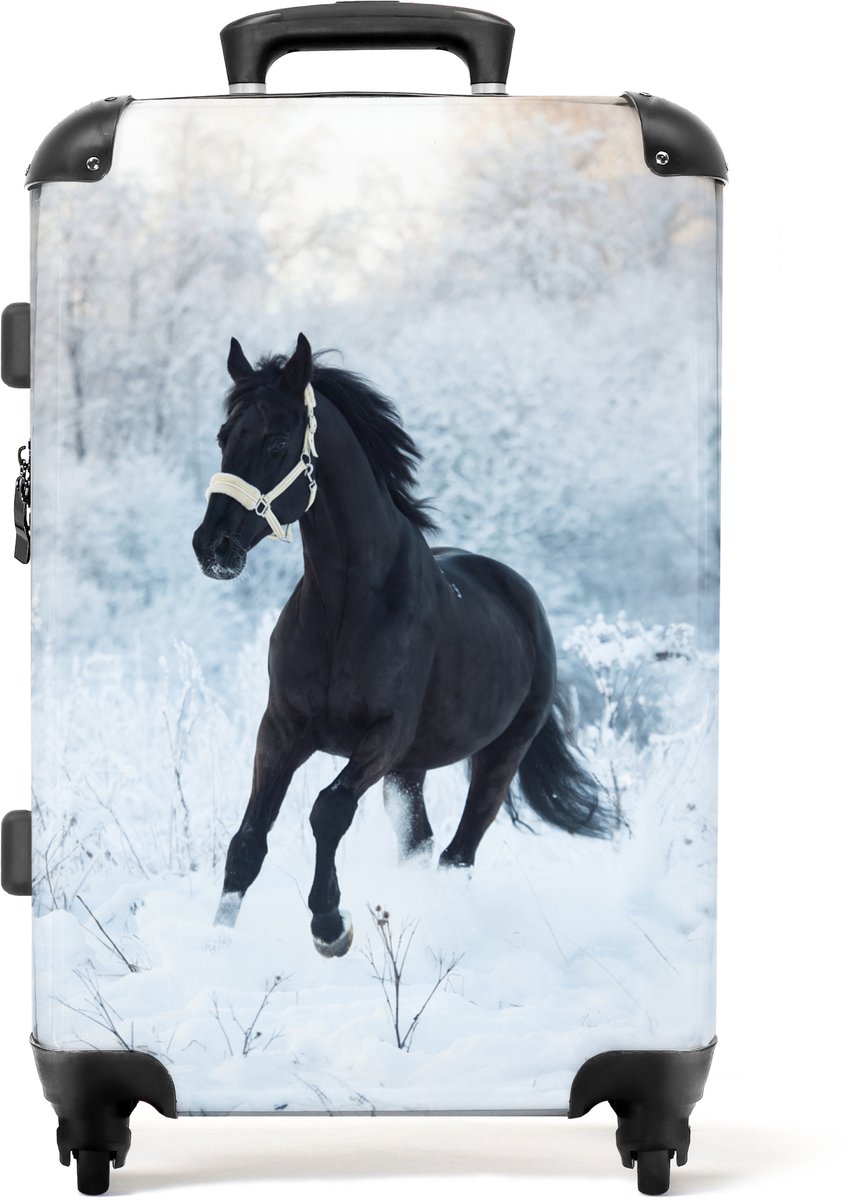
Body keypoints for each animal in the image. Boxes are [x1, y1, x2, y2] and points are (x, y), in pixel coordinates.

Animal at [192, 333, 612, 958]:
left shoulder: (383, 736)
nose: (211, 546)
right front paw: (215, 946)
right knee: (423, 845)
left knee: (457, 855)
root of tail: (521, 596)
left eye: (277, 440)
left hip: (498, 757)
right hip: (410, 772)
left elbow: (328, 810)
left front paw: (330, 926)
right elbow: (248, 840)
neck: (346, 609)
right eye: (224, 436)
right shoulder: (283, 729)